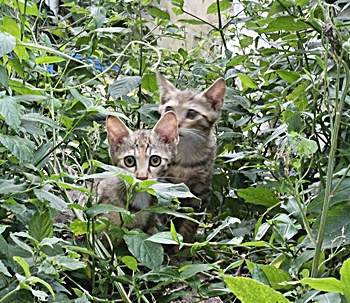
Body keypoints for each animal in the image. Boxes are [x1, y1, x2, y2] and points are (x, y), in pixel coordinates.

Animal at [157, 74, 227, 245]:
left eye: (192, 114)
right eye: (169, 109)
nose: (174, 123)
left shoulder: (200, 193)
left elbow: (190, 225)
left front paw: (184, 248)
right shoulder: (163, 187)